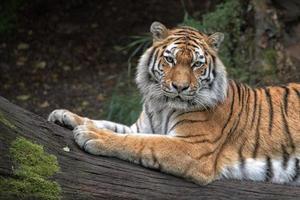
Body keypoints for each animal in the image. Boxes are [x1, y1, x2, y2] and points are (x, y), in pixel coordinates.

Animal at [47, 21, 300, 184]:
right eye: (170, 60)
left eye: (197, 64)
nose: (180, 87)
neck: (161, 104)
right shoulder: (141, 126)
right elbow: (105, 123)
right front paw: (64, 115)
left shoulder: (194, 147)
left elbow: (140, 142)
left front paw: (91, 136)